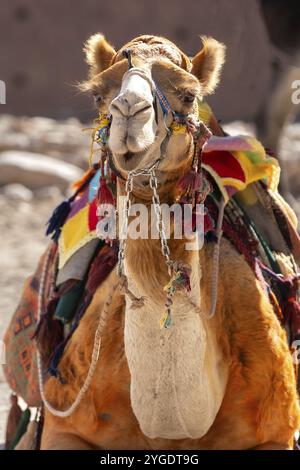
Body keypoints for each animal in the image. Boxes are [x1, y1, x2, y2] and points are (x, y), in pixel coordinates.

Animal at [37, 34, 300, 452]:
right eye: (98, 94)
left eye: (189, 95)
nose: (130, 108)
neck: (173, 428)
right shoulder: (65, 424)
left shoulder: (277, 430)